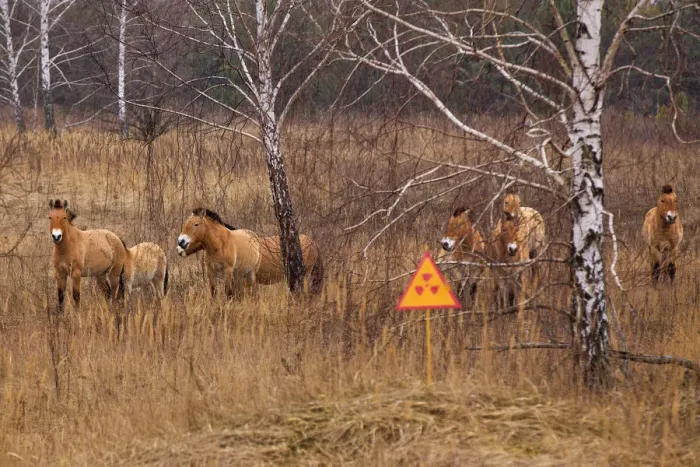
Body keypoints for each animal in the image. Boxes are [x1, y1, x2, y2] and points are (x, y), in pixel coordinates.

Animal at [176, 208, 324, 297]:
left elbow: (229, 293)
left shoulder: (230, 272)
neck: (221, 244)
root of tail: (313, 242)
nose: (180, 243)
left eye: (195, 224)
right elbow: (214, 292)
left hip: (303, 275)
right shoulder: (212, 271)